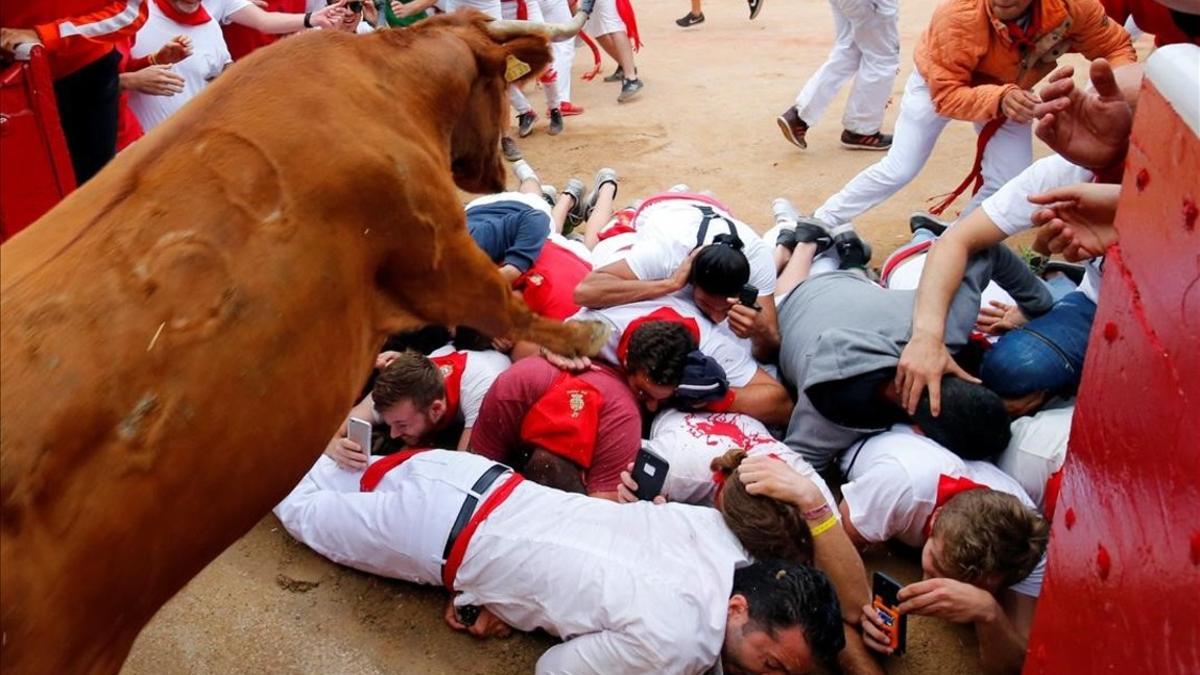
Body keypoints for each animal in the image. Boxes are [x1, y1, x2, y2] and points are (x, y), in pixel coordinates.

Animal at [0, 11, 604, 672]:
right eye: (496, 85)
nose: (500, 168)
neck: (383, 79)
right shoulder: (438, 248)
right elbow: (503, 301)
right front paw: (580, 334)